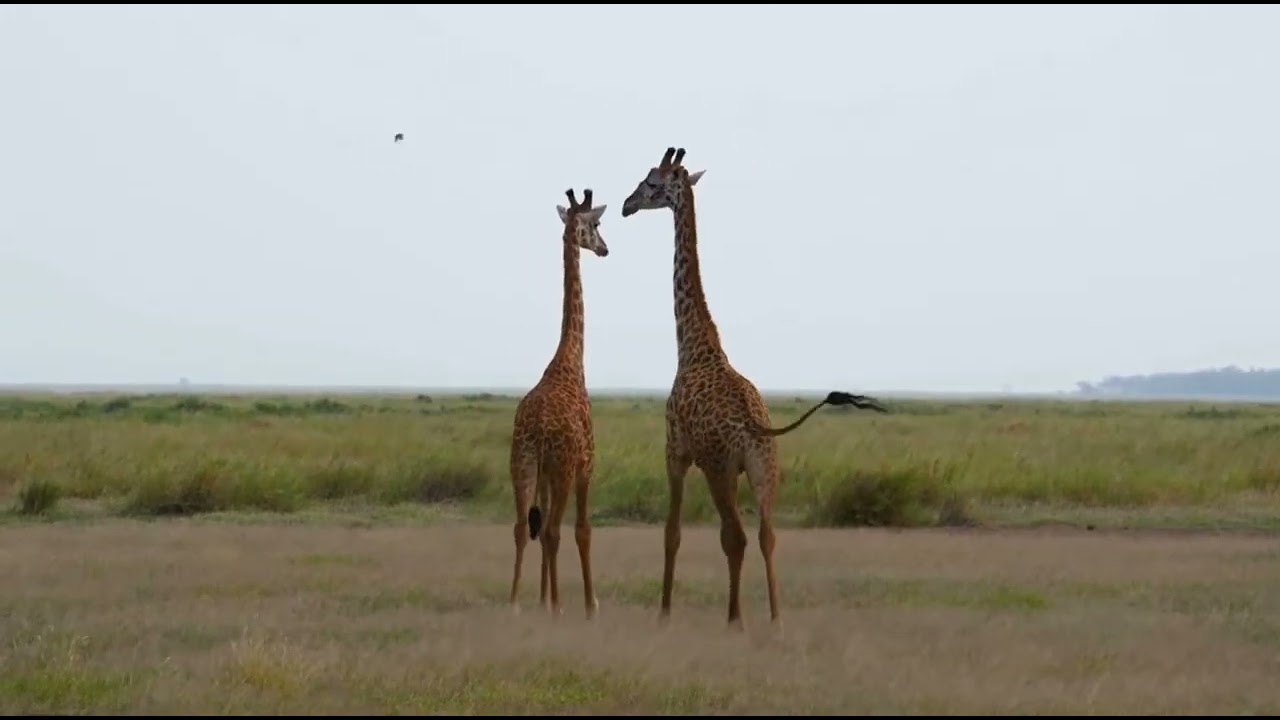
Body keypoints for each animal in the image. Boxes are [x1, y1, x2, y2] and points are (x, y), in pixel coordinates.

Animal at [620, 146, 889, 630]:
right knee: (767, 535)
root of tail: (756, 426)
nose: (625, 205)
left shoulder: (675, 450)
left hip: (721, 469)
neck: (695, 346)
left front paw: (664, 613)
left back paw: (735, 619)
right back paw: (776, 617)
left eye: (651, 183)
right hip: (766, 469)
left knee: (736, 536)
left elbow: (672, 533)